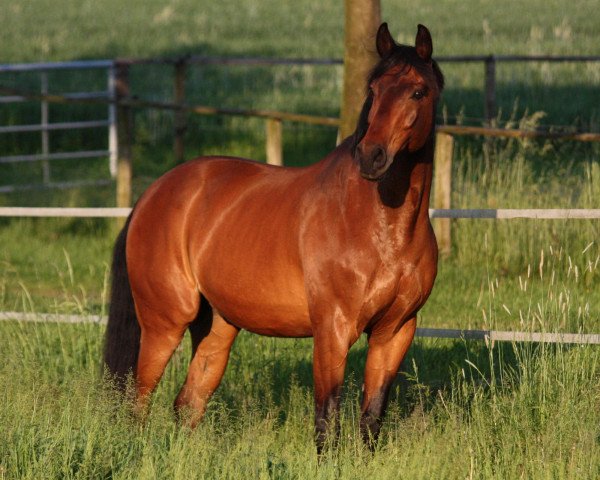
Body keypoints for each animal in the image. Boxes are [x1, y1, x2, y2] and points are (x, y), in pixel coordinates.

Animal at [103, 21, 442, 450]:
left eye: (418, 91)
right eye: (373, 89)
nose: (371, 156)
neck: (382, 227)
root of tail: (153, 195)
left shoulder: (395, 331)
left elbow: (371, 419)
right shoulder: (332, 330)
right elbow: (327, 420)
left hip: (218, 326)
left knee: (188, 403)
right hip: (164, 322)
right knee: (139, 402)